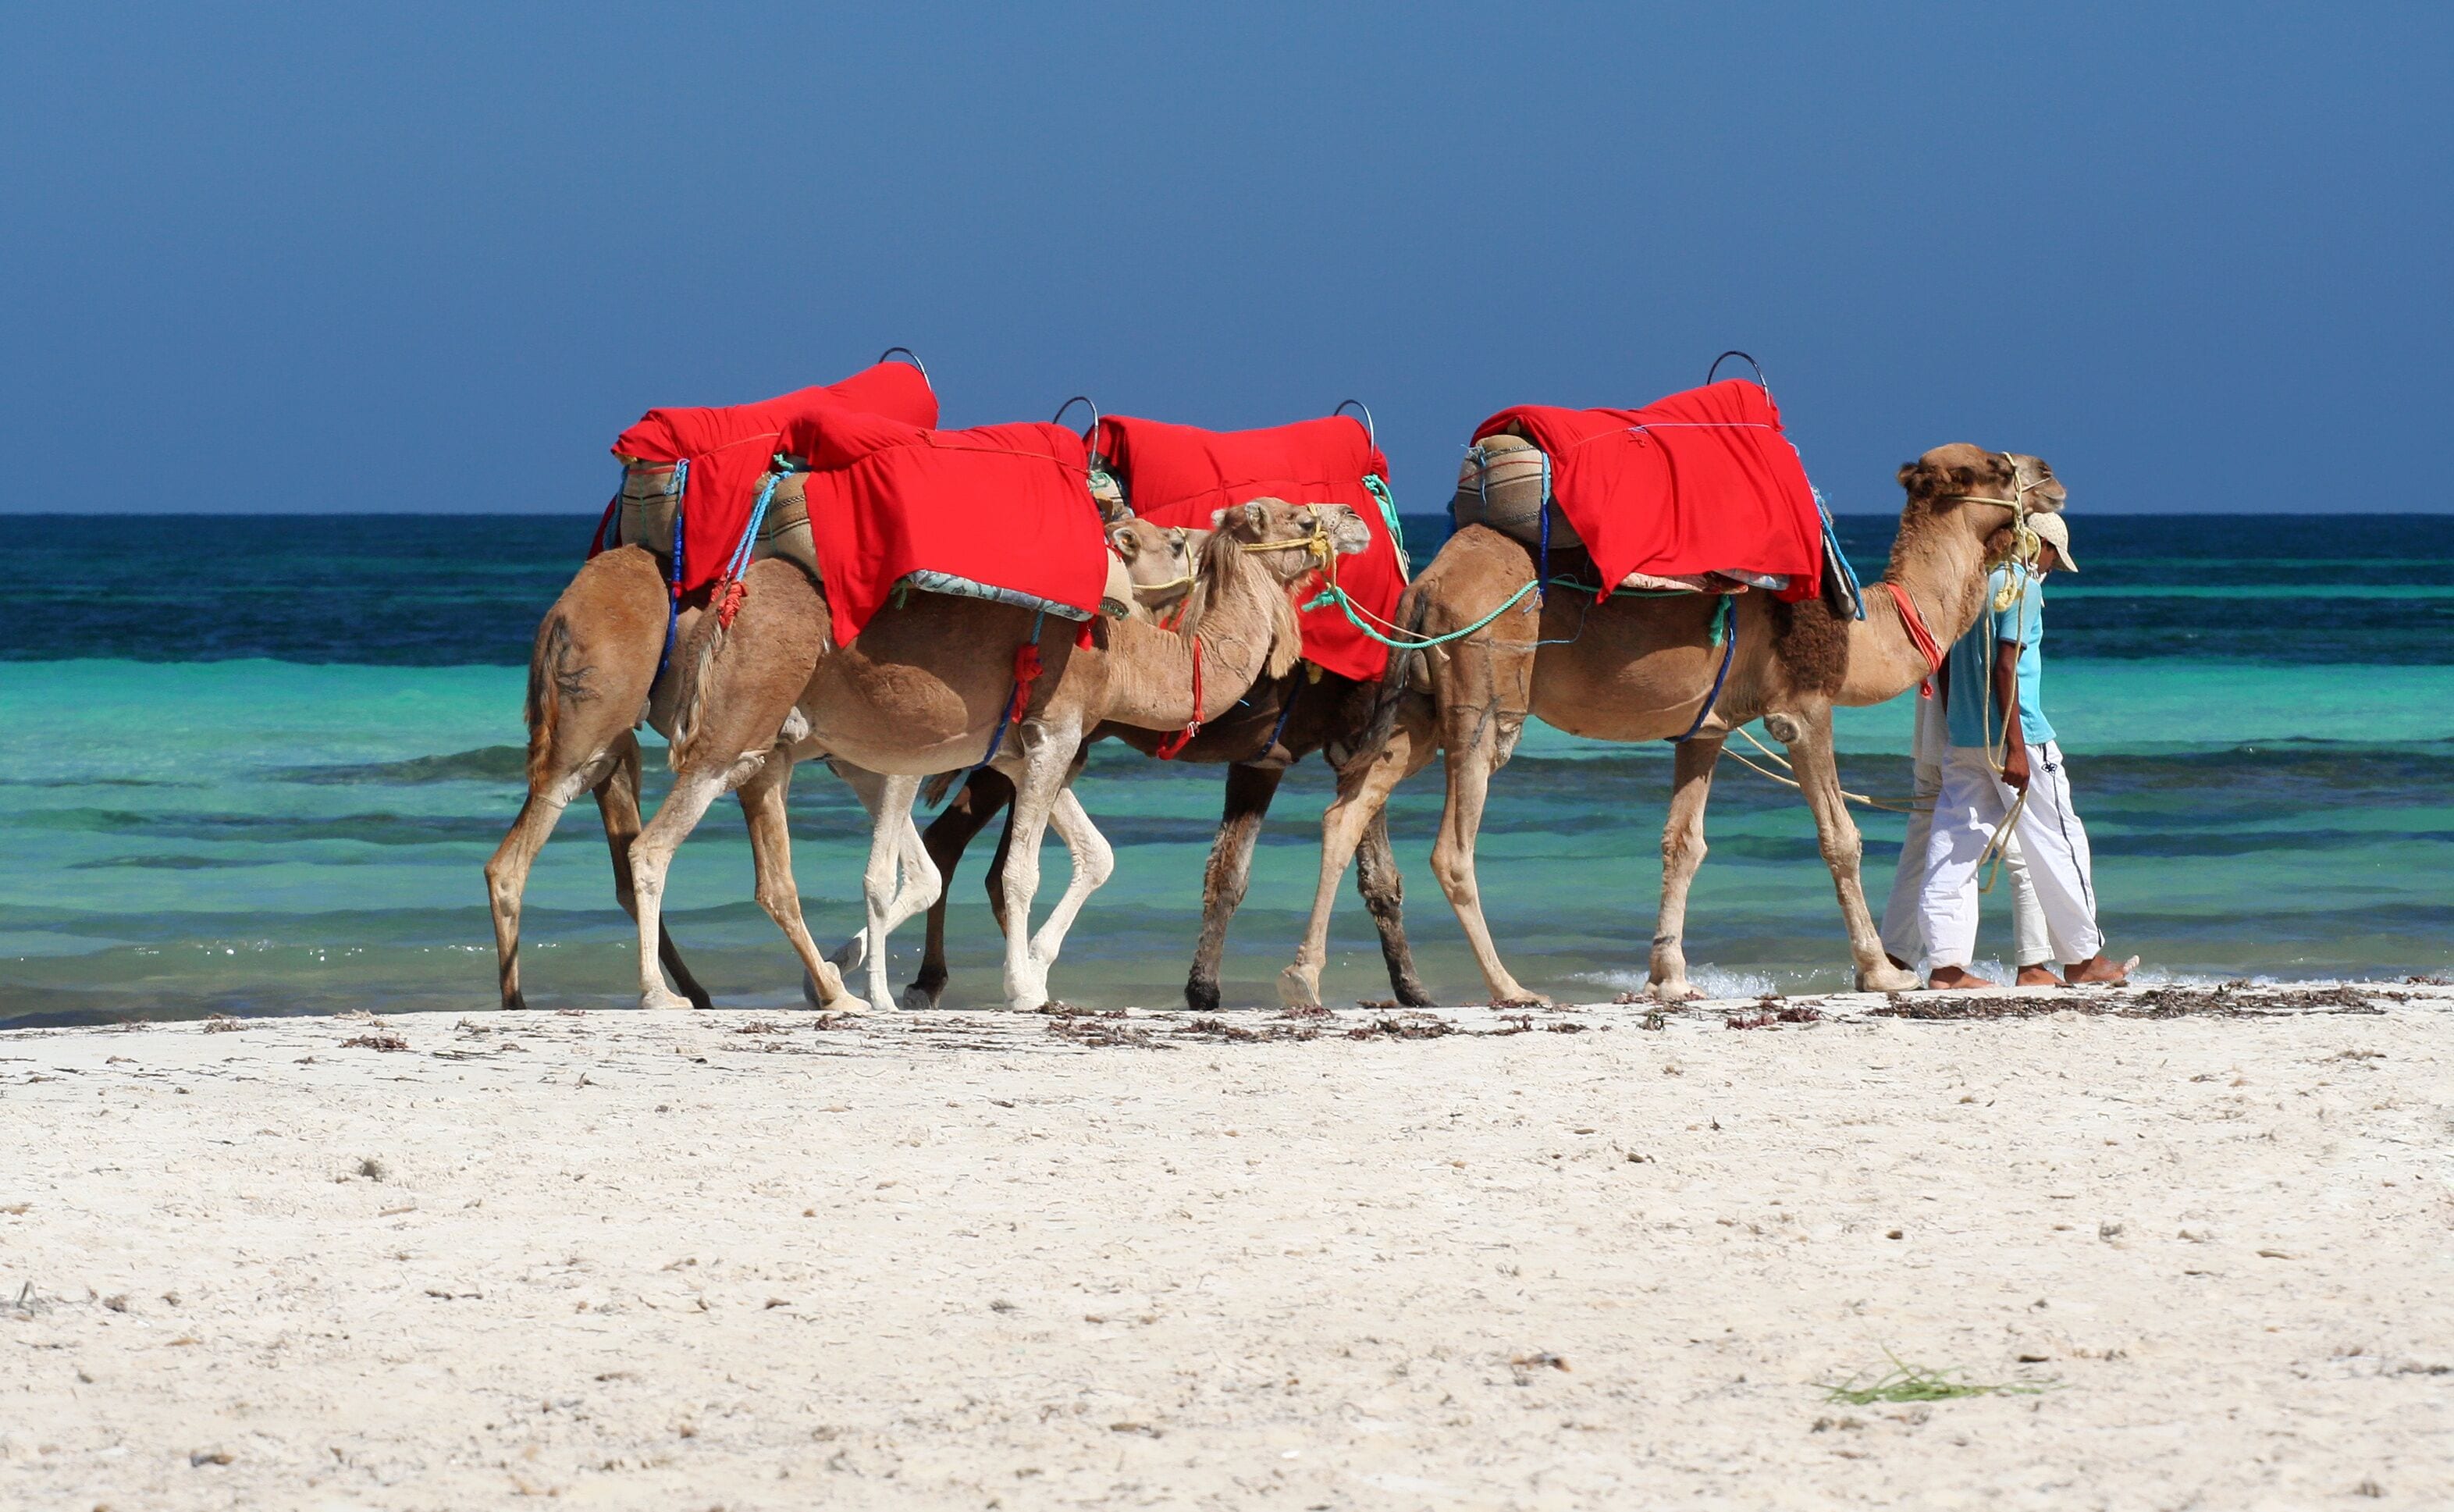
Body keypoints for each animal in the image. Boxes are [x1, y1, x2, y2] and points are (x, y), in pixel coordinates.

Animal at [626, 497, 1370, 1012]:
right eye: (1299, 514)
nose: (1357, 518)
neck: (1127, 654)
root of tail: (730, 596)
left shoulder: (1027, 749)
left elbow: (1096, 855)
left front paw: (1035, 968)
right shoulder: (1055, 731)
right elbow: (1019, 873)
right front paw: (1022, 986)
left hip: (773, 745)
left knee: (774, 876)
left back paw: (836, 992)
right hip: (734, 725)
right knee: (651, 847)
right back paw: (662, 994)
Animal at [1277, 443, 2065, 1008]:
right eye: (1995, 467)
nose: (2053, 476)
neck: (1862, 627)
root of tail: (1426, 581)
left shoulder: (1706, 727)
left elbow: (1683, 845)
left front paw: (1669, 978)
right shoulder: (1802, 706)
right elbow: (1840, 838)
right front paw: (1882, 973)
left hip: (1419, 703)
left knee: (1346, 811)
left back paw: (1303, 980)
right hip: (1483, 687)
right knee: (1452, 847)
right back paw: (1510, 988)